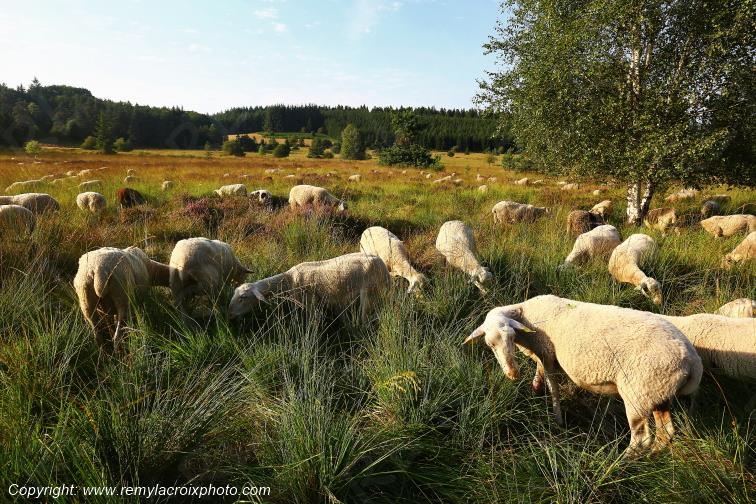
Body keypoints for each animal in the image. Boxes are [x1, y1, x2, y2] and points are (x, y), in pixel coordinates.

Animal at [464, 295, 702, 457]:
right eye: (490, 345)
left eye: (512, 337)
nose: (513, 374)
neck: (527, 314)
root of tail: (692, 360)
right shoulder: (543, 353)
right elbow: (540, 371)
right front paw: (535, 386)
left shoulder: (548, 353)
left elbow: (553, 386)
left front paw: (557, 418)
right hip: (658, 392)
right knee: (666, 432)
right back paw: (653, 454)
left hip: (638, 393)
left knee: (641, 438)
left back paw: (621, 461)